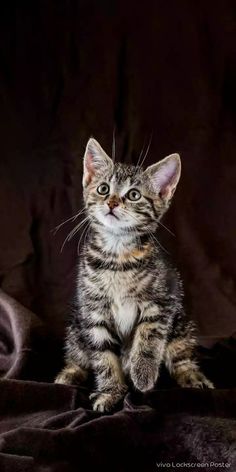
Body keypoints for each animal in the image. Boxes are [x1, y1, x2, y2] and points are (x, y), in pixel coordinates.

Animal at [55, 138, 214, 412]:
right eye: (103, 189)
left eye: (134, 195)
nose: (111, 203)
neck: (117, 256)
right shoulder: (93, 312)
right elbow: (103, 357)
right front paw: (110, 392)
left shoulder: (163, 301)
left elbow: (149, 337)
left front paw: (143, 372)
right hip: (76, 328)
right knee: (78, 355)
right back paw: (69, 374)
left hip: (181, 323)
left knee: (181, 355)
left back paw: (193, 377)